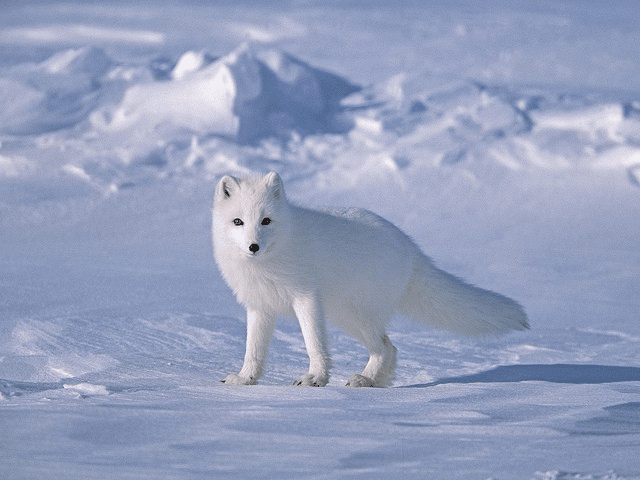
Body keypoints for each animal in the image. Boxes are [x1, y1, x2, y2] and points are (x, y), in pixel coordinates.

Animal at [212, 171, 528, 388]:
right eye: (238, 221)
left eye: (266, 220)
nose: (253, 246)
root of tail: (412, 251)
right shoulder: (259, 306)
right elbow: (253, 350)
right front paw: (245, 379)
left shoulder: (306, 298)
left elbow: (314, 343)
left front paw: (315, 378)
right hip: (347, 316)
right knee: (391, 347)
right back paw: (376, 381)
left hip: (350, 314)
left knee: (386, 346)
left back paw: (366, 379)